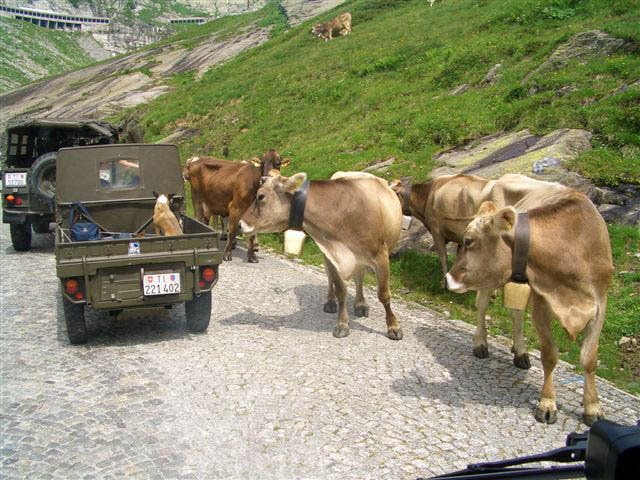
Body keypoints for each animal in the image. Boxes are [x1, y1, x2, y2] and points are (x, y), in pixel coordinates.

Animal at [238, 172, 402, 338]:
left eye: (260, 196)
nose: (239, 224)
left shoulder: (381, 256)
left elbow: (383, 294)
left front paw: (393, 326)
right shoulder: (332, 255)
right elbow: (340, 291)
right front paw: (342, 324)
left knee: (359, 276)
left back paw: (360, 304)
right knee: (332, 278)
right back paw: (331, 302)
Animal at [444, 189, 616, 426]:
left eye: (468, 240)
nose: (448, 278)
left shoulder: (600, 303)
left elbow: (589, 358)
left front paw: (592, 407)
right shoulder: (540, 302)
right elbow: (550, 355)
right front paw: (547, 403)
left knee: (516, 314)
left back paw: (520, 353)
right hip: (491, 282)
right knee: (483, 305)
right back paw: (481, 343)